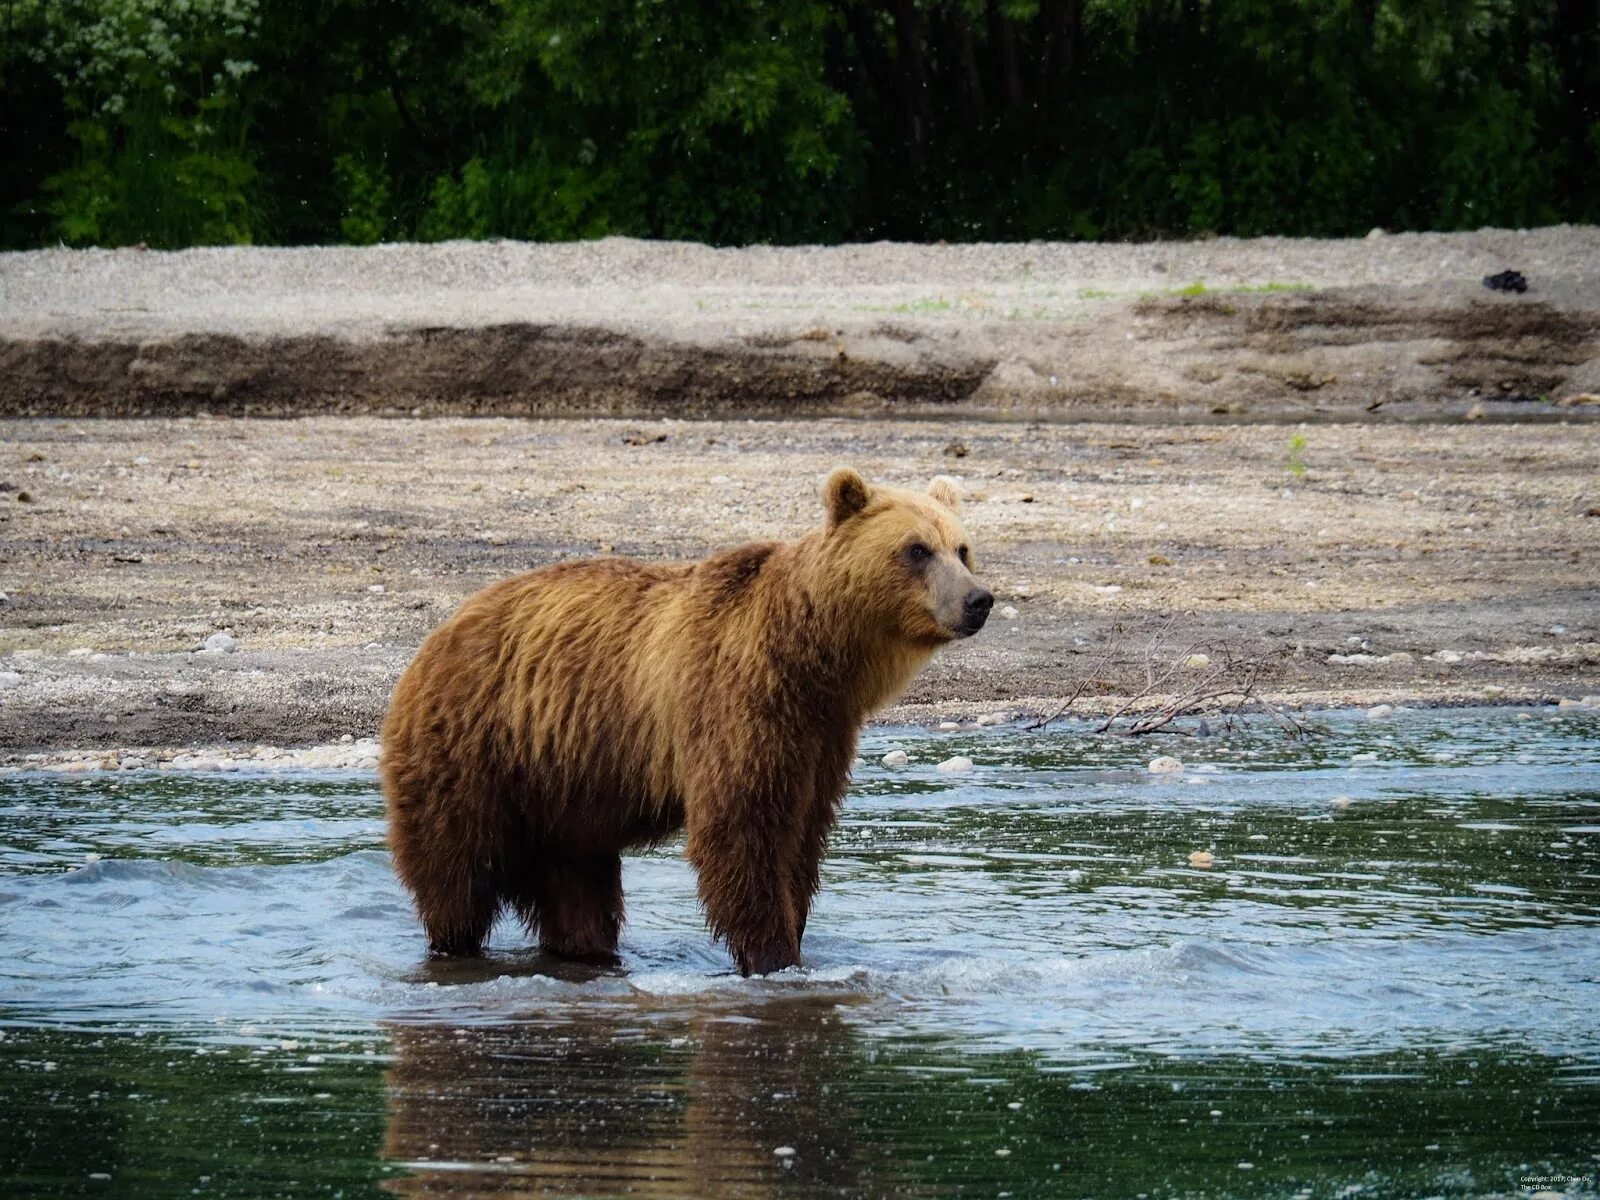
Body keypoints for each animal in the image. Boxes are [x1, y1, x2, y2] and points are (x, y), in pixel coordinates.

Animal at [384, 470, 985, 979]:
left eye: (962, 549)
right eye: (915, 549)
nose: (978, 599)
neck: (812, 658)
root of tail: (440, 633)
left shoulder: (820, 735)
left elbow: (801, 839)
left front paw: (794, 935)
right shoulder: (735, 700)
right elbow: (742, 829)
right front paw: (774, 957)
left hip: (562, 784)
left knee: (577, 888)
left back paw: (587, 953)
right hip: (476, 747)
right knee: (456, 872)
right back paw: (454, 947)